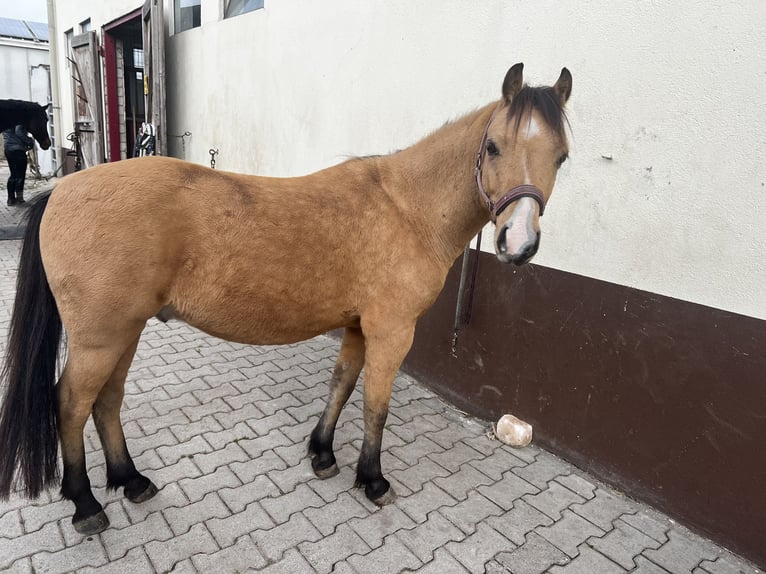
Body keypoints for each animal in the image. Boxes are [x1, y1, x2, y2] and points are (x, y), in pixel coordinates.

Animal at [0, 63, 571, 535]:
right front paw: (373, 480)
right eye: (493, 146)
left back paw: (131, 480)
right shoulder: (391, 331)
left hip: (126, 330)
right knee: (71, 403)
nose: (518, 245)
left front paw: (322, 454)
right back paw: (86, 505)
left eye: (561, 157)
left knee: (108, 400)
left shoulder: (357, 326)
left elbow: (341, 386)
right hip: (101, 337)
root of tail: (60, 191)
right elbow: (376, 405)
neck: (405, 208)